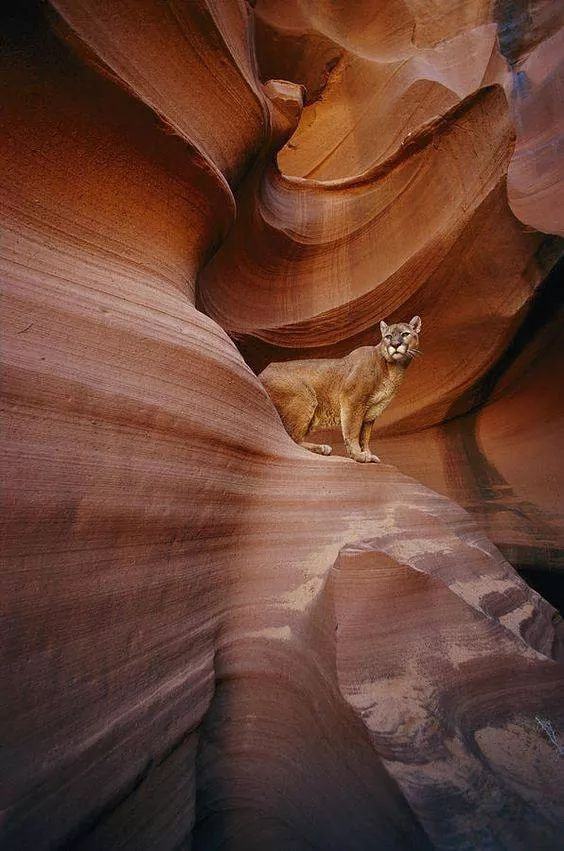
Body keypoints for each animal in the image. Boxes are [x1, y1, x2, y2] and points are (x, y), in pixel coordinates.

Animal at [258, 318, 420, 462]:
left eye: (405, 334)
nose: (395, 344)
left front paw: (368, 453)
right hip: (304, 397)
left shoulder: (372, 412)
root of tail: (260, 372)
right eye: (388, 336)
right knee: (291, 440)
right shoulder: (352, 400)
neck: (393, 368)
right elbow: (352, 430)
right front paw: (358, 455)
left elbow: (365, 436)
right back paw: (322, 448)